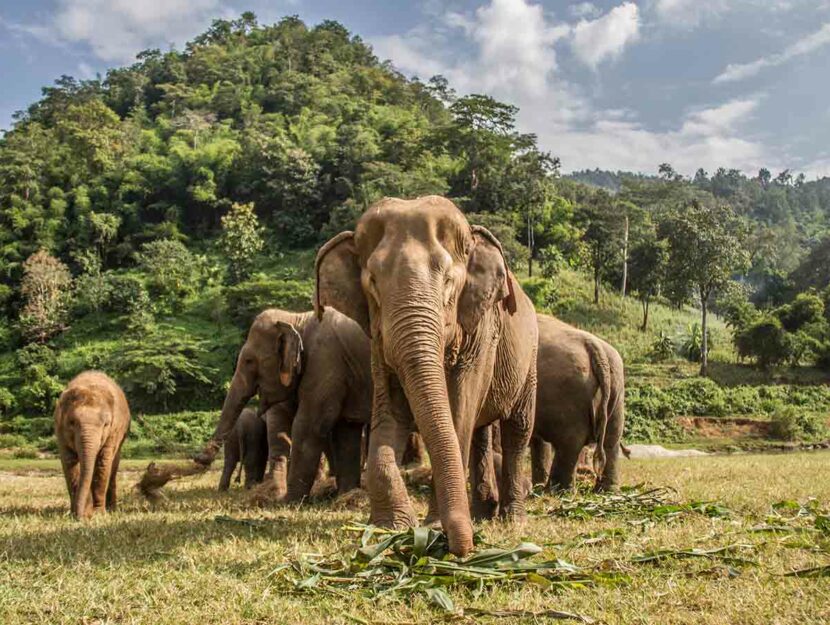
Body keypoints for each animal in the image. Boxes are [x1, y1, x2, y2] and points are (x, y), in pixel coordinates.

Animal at [54, 370, 131, 516]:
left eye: (106, 424)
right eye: (72, 422)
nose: (82, 516)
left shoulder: (114, 431)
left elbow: (103, 463)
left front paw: (98, 513)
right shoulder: (60, 431)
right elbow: (69, 462)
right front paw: (76, 513)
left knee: (113, 466)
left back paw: (112, 509)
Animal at [195, 304, 370, 500]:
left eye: (249, 361)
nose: (199, 459)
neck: (297, 319)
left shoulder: (326, 365)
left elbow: (308, 427)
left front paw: (287, 501)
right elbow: (344, 430)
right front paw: (345, 495)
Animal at [314, 196, 540, 556]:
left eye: (448, 281)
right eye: (373, 282)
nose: (463, 548)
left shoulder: (481, 332)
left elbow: (459, 412)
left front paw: (432, 527)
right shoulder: (378, 342)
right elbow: (390, 413)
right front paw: (389, 528)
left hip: (529, 357)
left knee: (517, 429)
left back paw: (512, 520)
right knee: (481, 432)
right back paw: (482, 513)